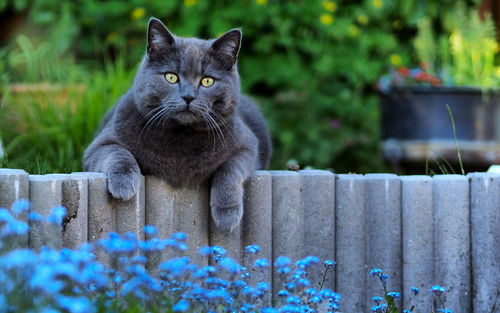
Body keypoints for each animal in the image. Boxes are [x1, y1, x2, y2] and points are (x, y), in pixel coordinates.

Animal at [83, 17, 270, 232]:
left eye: (207, 81)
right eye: (171, 77)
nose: (188, 96)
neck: (181, 136)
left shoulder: (247, 145)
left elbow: (230, 169)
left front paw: (227, 214)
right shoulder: (99, 145)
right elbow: (118, 152)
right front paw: (123, 183)